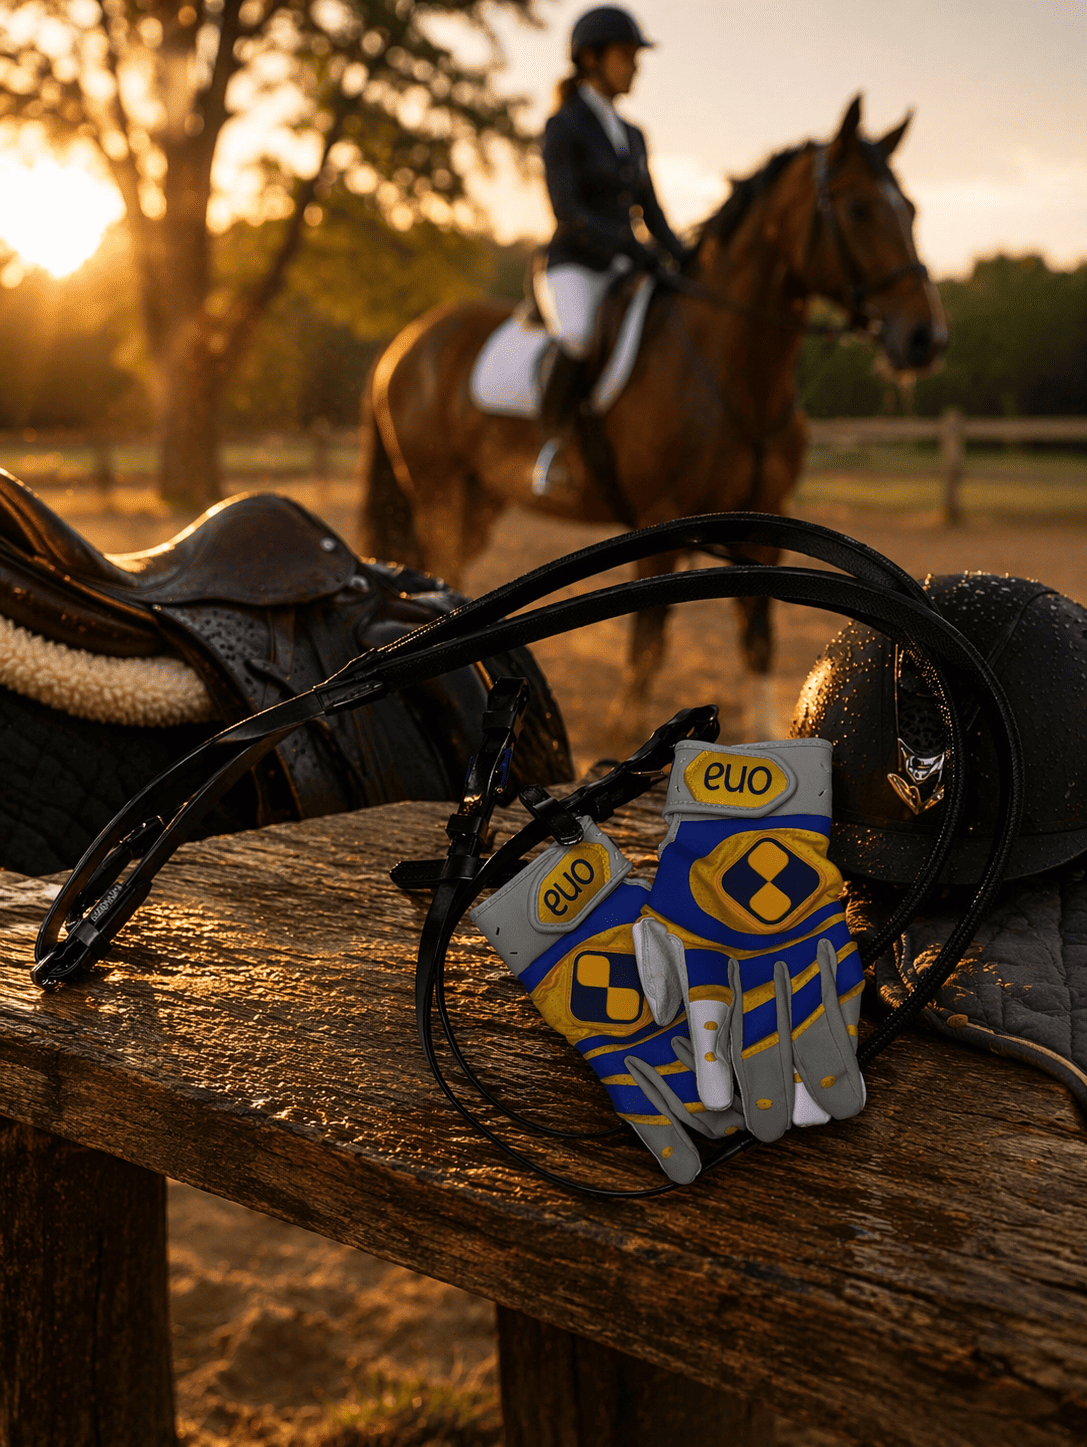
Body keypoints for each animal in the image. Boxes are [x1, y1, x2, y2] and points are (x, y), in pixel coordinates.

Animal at [357, 95, 948, 742]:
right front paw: (621, 736)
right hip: (436, 487)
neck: (735, 375)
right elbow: (646, 648)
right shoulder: (662, 518)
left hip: (479, 498)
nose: (926, 338)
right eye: (859, 208)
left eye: (912, 209)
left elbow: (758, 642)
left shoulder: (765, 523)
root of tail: (407, 342)